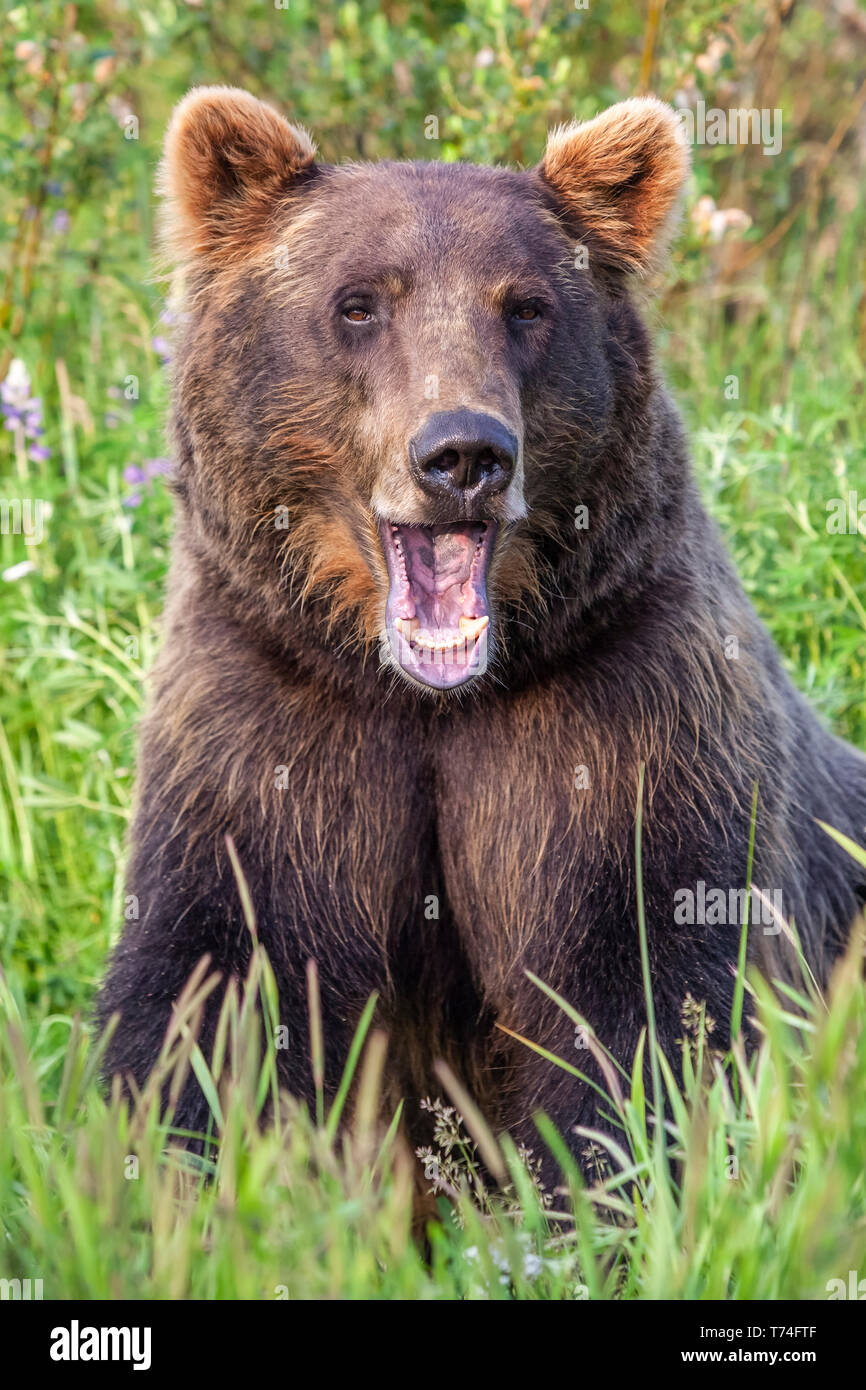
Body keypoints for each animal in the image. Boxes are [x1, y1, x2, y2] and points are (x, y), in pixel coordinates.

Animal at [94, 84, 866, 1173]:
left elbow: (644, 998)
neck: (427, 698)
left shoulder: (626, 717)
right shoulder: (267, 719)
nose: (462, 453)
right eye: (359, 303)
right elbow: (211, 987)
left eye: (526, 307)